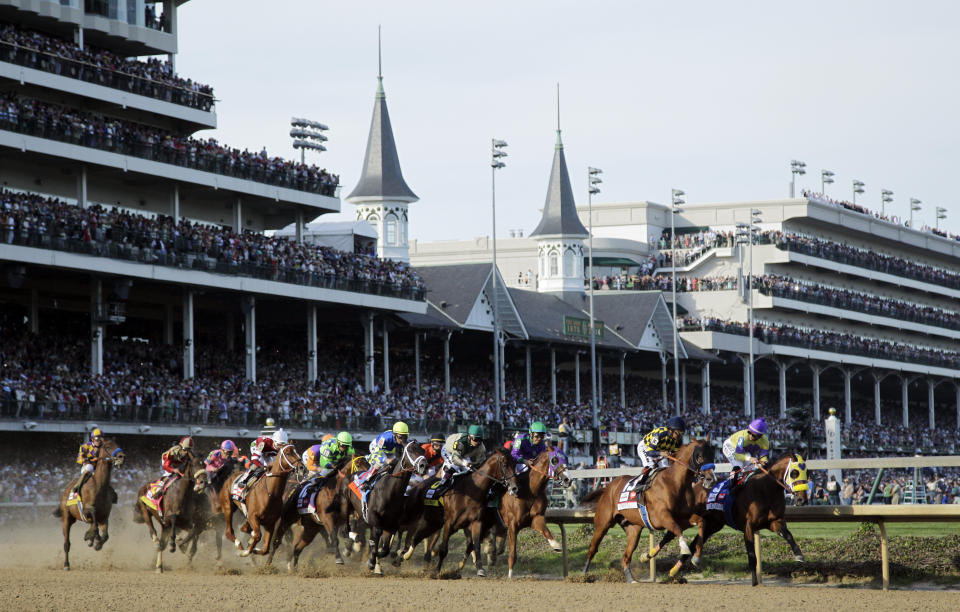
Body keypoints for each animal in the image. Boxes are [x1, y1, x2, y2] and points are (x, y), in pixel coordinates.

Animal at [53, 436, 124, 568]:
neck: (99, 486)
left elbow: (105, 535)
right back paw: (66, 564)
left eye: (117, 444)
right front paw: (90, 537)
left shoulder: (104, 516)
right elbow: (94, 525)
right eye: (108, 446)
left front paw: (97, 543)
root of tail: (65, 490)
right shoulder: (87, 509)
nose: (122, 456)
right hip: (67, 518)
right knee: (67, 543)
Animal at [398, 448, 516, 576]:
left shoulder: (476, 522)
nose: (514, 488)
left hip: (434, 522)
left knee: (417, 537)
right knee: (412, 535)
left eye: (514, 464)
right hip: (419, 517)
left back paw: (405, 556)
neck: (472, 491)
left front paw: (480, 569)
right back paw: (400, 556)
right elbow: (444, 549)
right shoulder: (449, 523)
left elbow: (475, 545)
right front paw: (437, 571)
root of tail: (417, 486)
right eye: (504, 464)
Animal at [576, 440, 712, 584]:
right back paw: (583, 575)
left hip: (633, 529)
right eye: (700, 456)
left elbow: (701, 522)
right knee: (592, 549)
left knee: (626, 556)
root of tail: (608, 487)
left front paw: (696, 558)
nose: (710, 479)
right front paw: (684, 549)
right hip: (602, 524)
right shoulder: (661, 517)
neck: (675, 482)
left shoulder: (682, 517)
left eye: (712, 455)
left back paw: (631, 579)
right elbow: (676, 528)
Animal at [688, 452, 808, 584]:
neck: (765, 490)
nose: (802, 500)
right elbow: (751, 555)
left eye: (807, 472)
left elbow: (788, 535)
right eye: (794, 473)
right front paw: (754, 581)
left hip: (714, 524)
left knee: (694, 542)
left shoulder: (774, 522)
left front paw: (799, 555)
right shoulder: (749, 526)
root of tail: (696, 485)